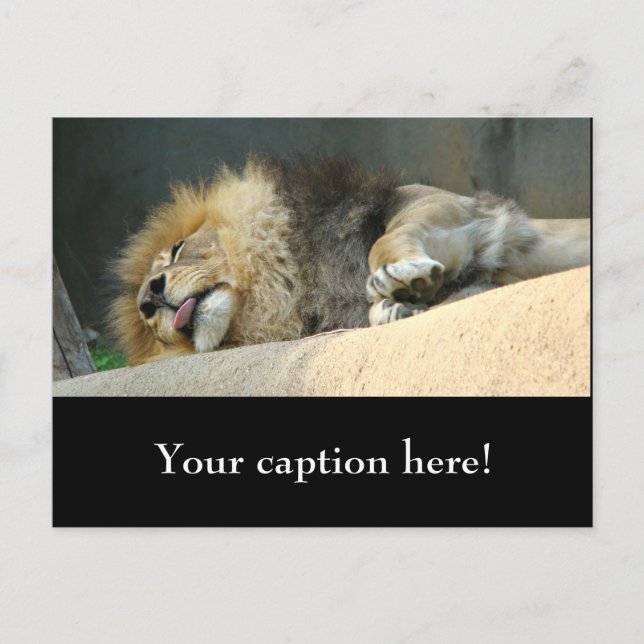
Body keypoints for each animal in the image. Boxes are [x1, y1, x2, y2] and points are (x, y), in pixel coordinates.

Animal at [109, 155, 590, 365]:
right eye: (147, 326)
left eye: (175, 251)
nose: (148, 301)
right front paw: (396, 306)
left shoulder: (448, 206)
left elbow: (385, 242)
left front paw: (399, 277)